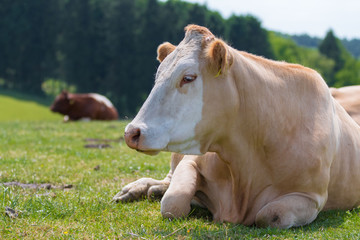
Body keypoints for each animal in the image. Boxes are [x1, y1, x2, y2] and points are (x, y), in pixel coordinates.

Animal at [113, 24, 360, 229]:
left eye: (188, 77)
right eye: (158, 76)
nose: (131, 132)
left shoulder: (311, 197)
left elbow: (270, 215)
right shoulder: (191, 161)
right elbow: (173, 204)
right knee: (167, 180)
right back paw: (135, 189)